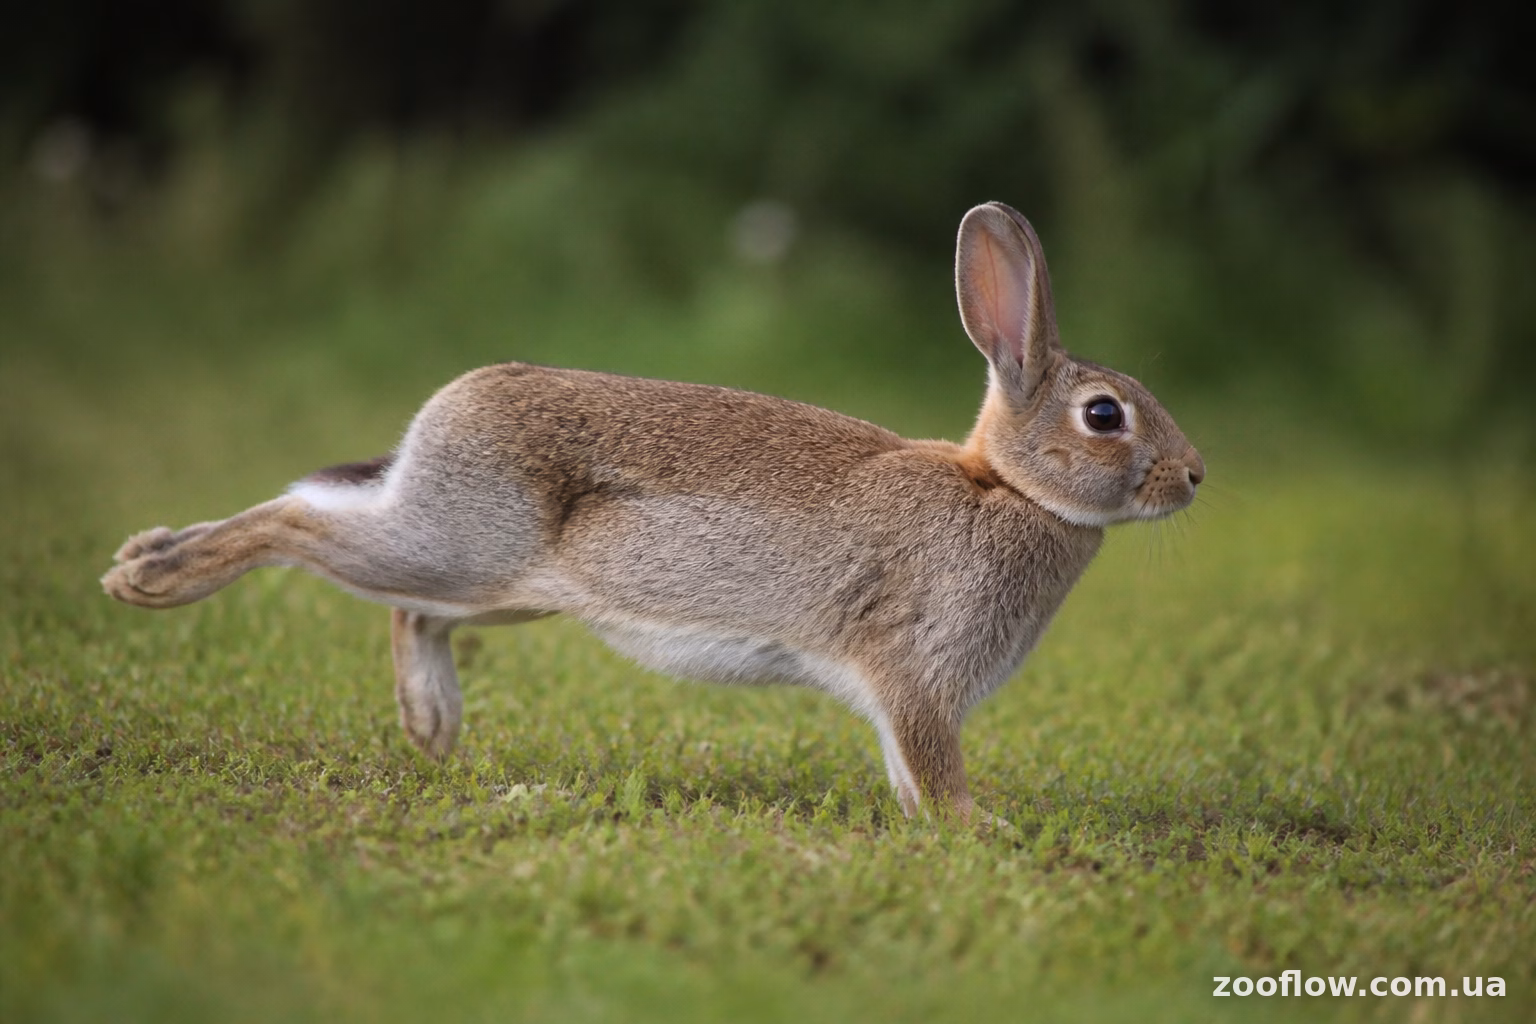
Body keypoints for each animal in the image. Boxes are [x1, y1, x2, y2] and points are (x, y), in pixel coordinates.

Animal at [102, 202, 1204, 822]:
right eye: (1105, 415)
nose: (1193, 477)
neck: (1008, 487)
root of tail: (448, 406)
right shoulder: (918, 672)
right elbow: (932, 766)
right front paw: (982, 830)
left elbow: (904, 774)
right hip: (456, 543)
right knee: (295, 525)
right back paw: (147, 575)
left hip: (497, 580)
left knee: (396, 597)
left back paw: (432, 728)